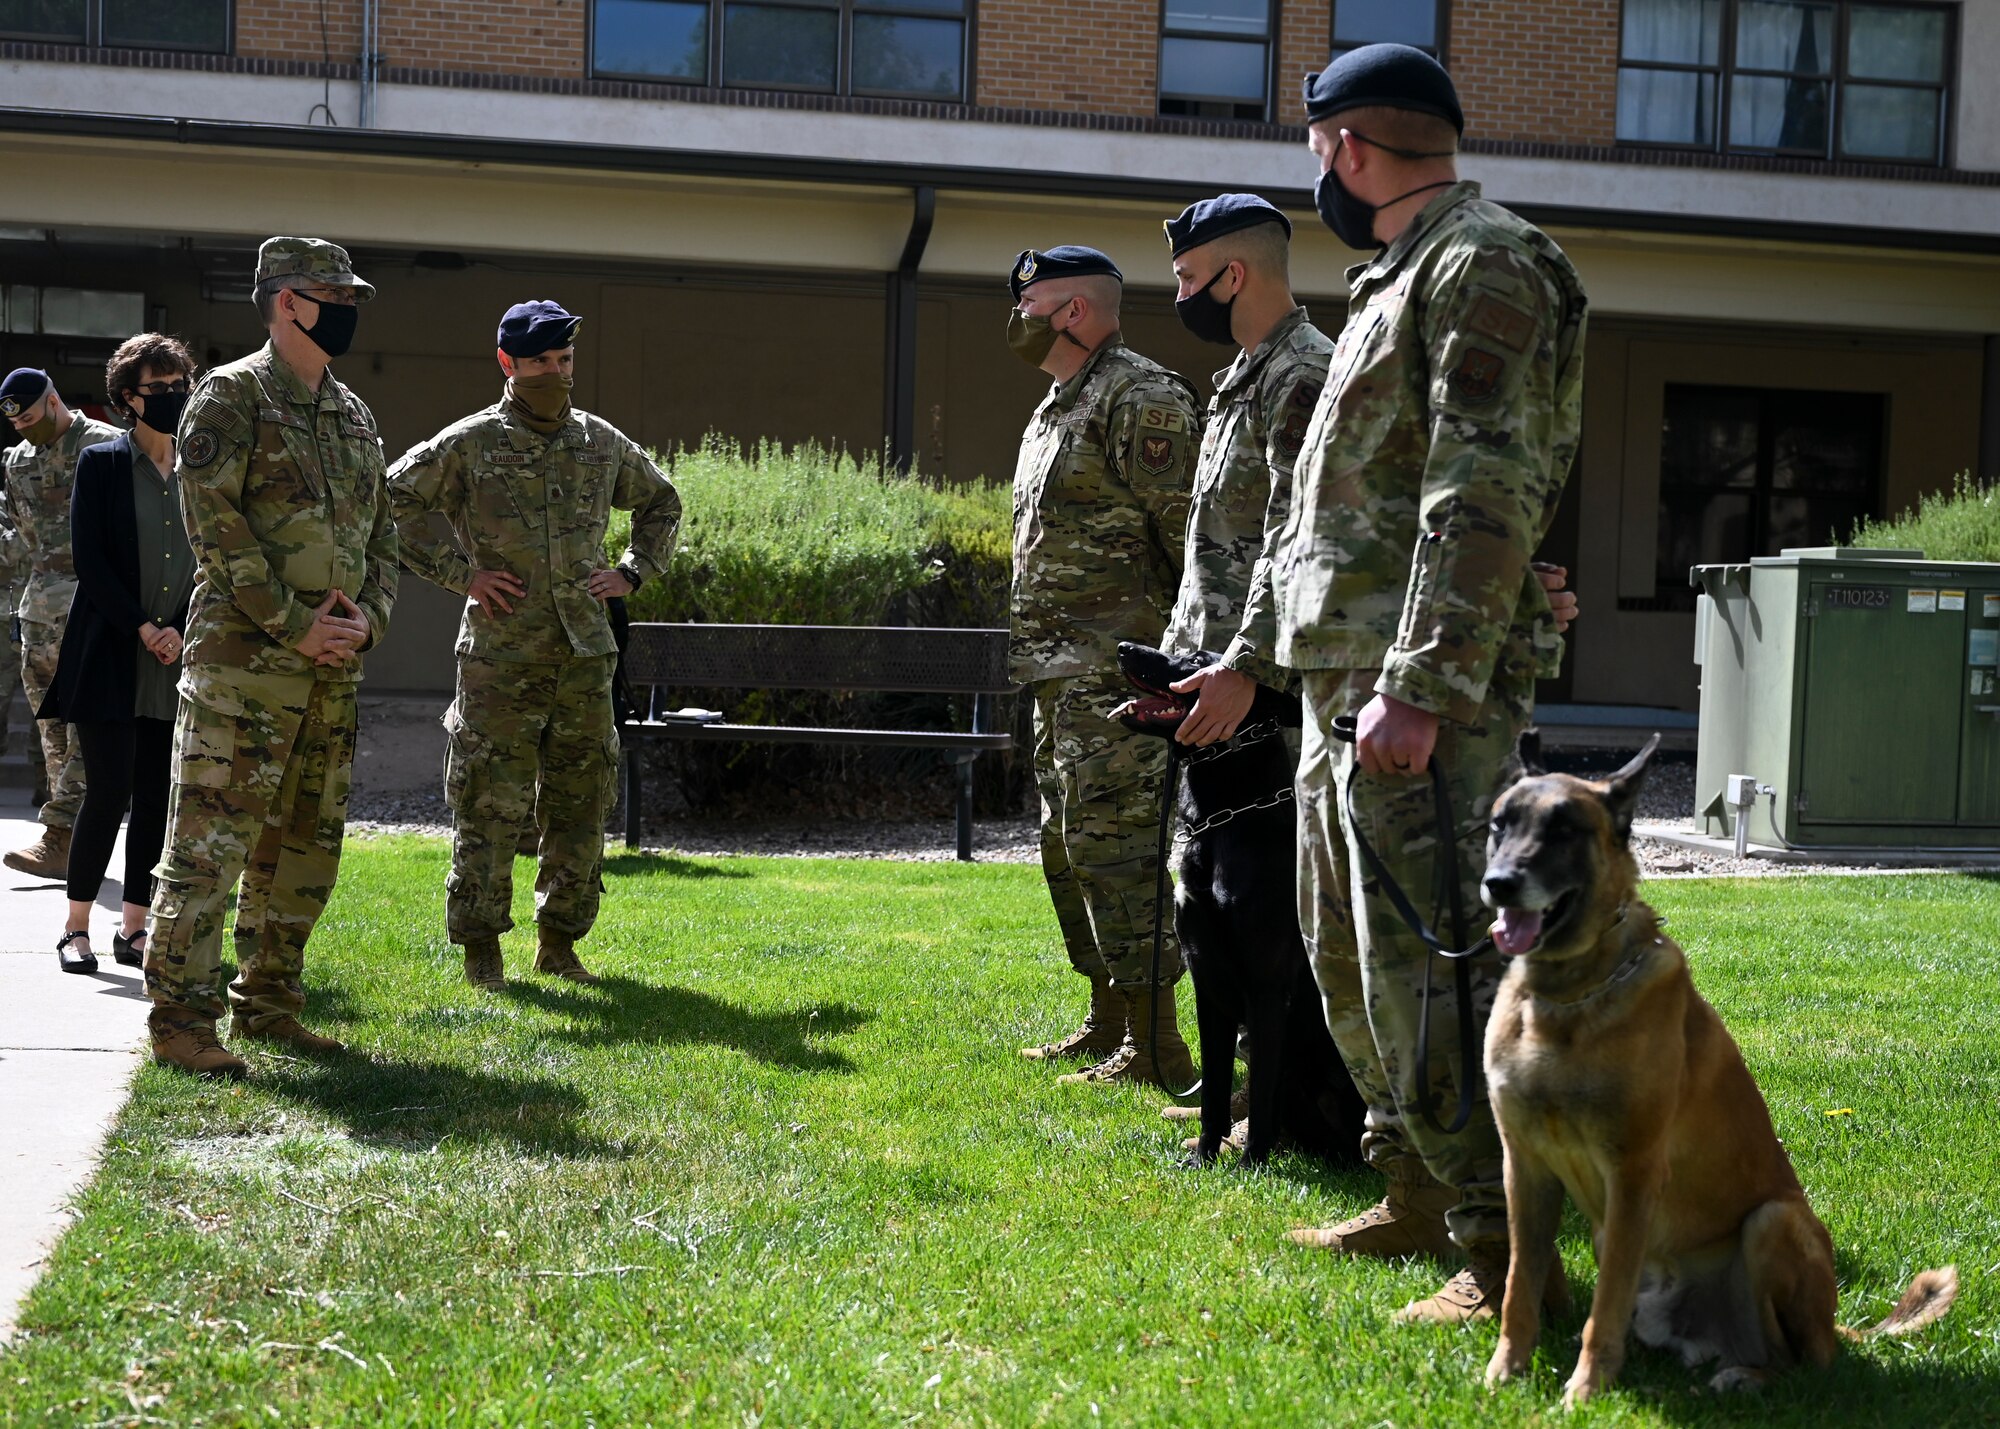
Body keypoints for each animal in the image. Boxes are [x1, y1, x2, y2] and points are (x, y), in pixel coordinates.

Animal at [1120, 640, 1368, 1160]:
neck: (1225, 823)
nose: (1124, 647)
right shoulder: (1207, 981)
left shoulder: (1267, 988)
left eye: (1196, 661)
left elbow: (1258, 1093)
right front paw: (1204, 1156)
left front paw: (1251, 1162)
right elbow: (1214, 1089)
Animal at [1472, 736, 1952, 1400]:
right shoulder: (1525, 1169)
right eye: (1500, 826)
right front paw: (1507, 1369)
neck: (1569, 993)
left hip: (1773, 1223)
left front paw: (1586, 1388)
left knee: (1804, 1364)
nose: (1499, 885)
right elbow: (1522, 1283)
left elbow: (1604, 1303)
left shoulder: (1633, 1174)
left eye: (1564, 829)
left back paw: (1748, 1375)